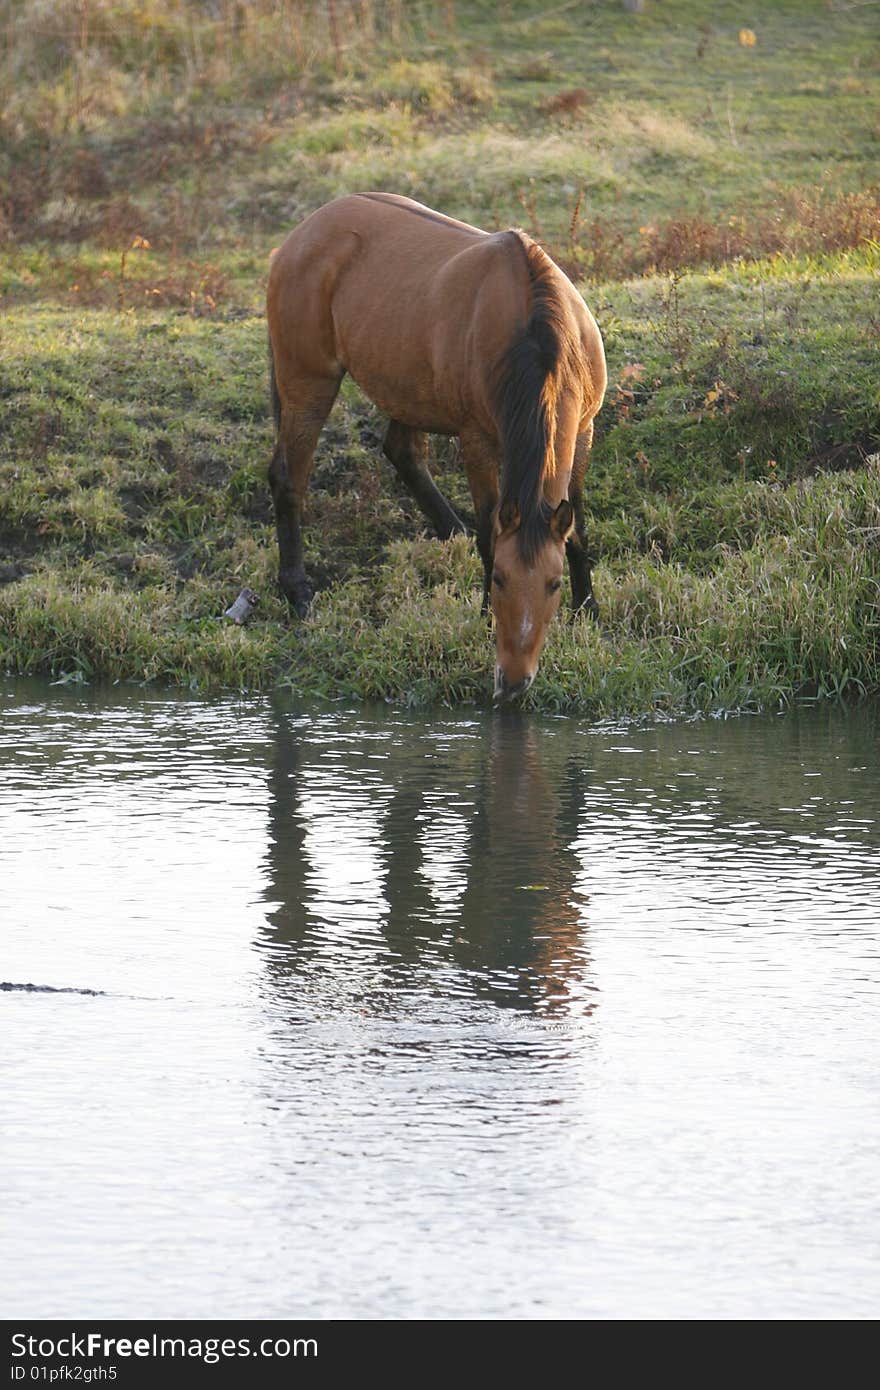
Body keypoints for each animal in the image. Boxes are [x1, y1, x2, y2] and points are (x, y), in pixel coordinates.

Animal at [265, 190, 603, 700]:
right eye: (500, 579)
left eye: (554, 583)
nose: (514, 683)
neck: (539, 335)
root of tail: (300, 235)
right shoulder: (477, 439)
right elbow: (489, 533)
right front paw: (484, 617)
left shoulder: (583, 432)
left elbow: (576, 527)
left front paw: (589, 611)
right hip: (308, 382)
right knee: (289, 479)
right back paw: (298, 592)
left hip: (403, 388)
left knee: (401, 452)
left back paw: (450, 530)